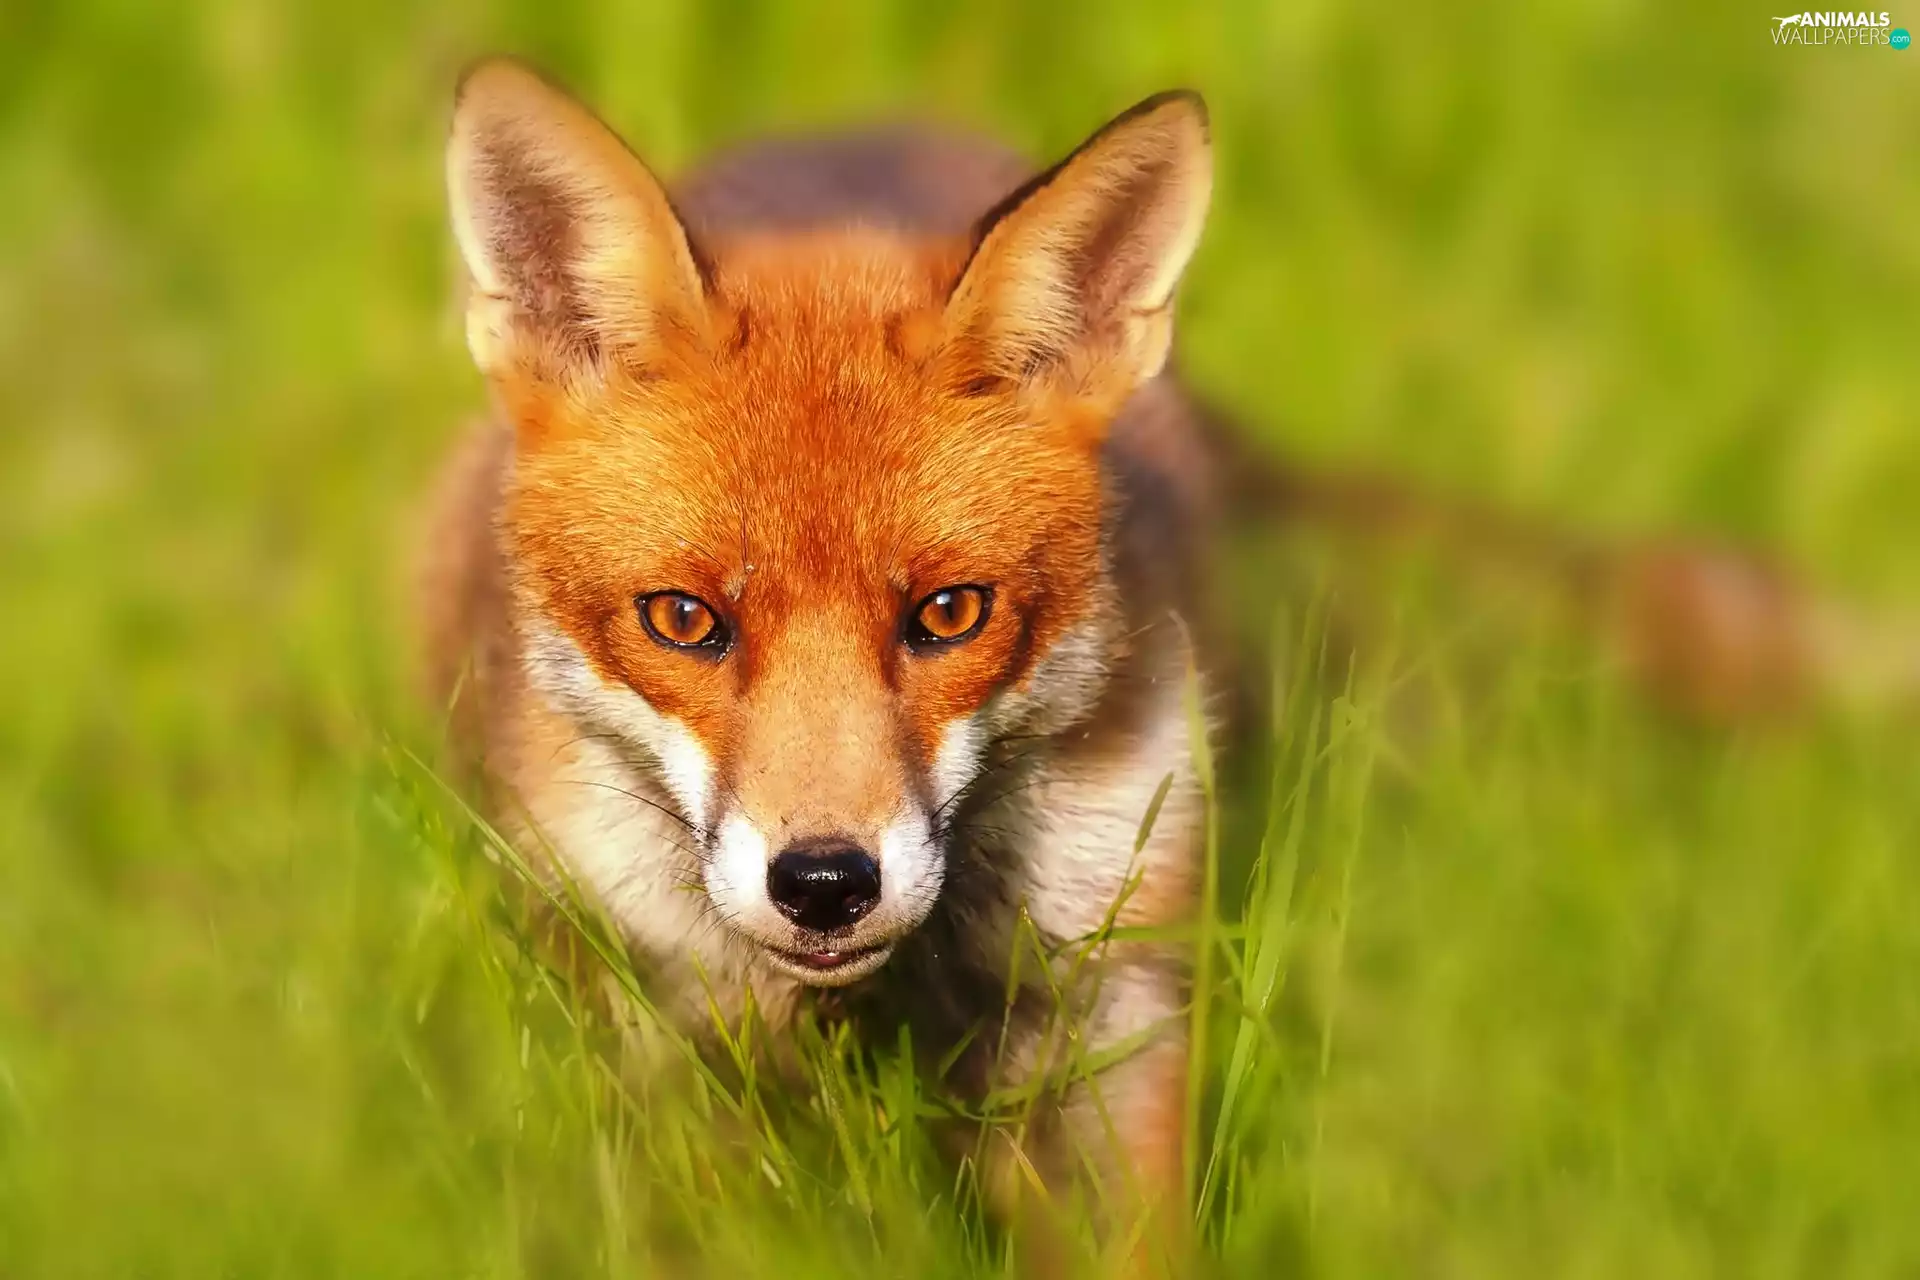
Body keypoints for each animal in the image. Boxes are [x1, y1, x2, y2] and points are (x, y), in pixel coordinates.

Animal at [419, 57, 1913, 1262]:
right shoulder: (669, 1038)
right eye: (684, 620)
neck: (896, 992)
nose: (827, 883)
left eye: (950, 614)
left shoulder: (1109, 1016)